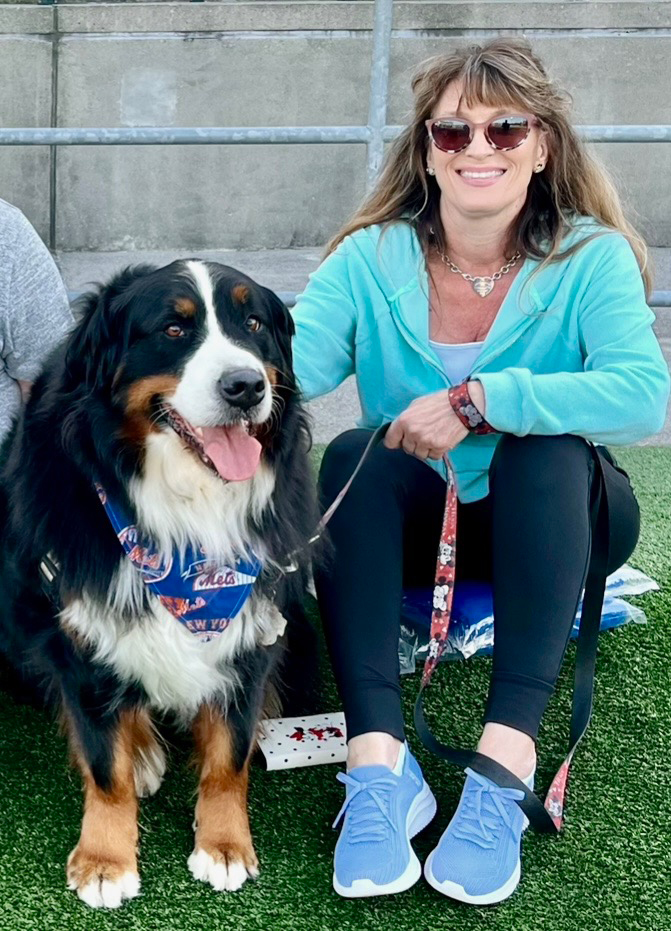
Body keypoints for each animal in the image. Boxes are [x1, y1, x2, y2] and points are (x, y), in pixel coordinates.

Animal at [0, 260, 318, 912]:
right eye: (173, 329)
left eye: (254, 324)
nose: (246, 386)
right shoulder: (81, 629)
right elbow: (104, 765)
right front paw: (105, 859)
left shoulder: (254, 626)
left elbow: (229, 753)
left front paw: (225, 845)